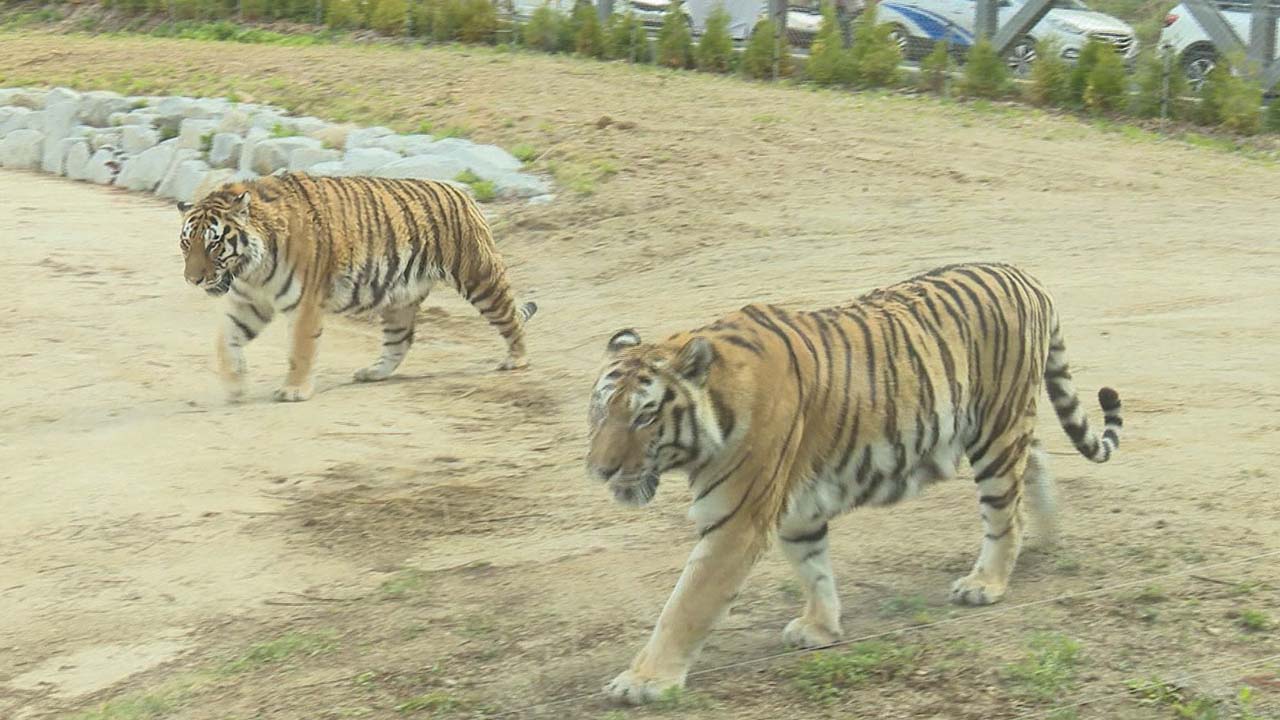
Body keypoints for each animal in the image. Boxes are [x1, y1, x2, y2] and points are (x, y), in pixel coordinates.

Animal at [176, 172, 538, 402]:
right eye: (186, 243)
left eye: (213, 244)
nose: (192, 279)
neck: (252, 269)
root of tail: (462, 192)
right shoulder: (250, 302)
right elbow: (226, 340)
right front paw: (234, 385)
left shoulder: (305, 303)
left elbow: (300, 350)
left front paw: (293, 390)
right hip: (399, 299)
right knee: (400, 342)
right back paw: (372, 372)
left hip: (480, 276)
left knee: (510, 316)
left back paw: (517, 359)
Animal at [585, 262, 1123, 704]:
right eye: (601, 409)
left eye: (645, 417)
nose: (600, 470)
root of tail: (1023, 275)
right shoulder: (795, 507)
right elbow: (813, 567)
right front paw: (821, 628)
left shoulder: (735, 522)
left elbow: (685, 605)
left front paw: (643, 682)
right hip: (1007, 426)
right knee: (1033, 465)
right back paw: (1046, 538)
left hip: (996, 430)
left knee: (1003, 512)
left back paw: (986, 582)